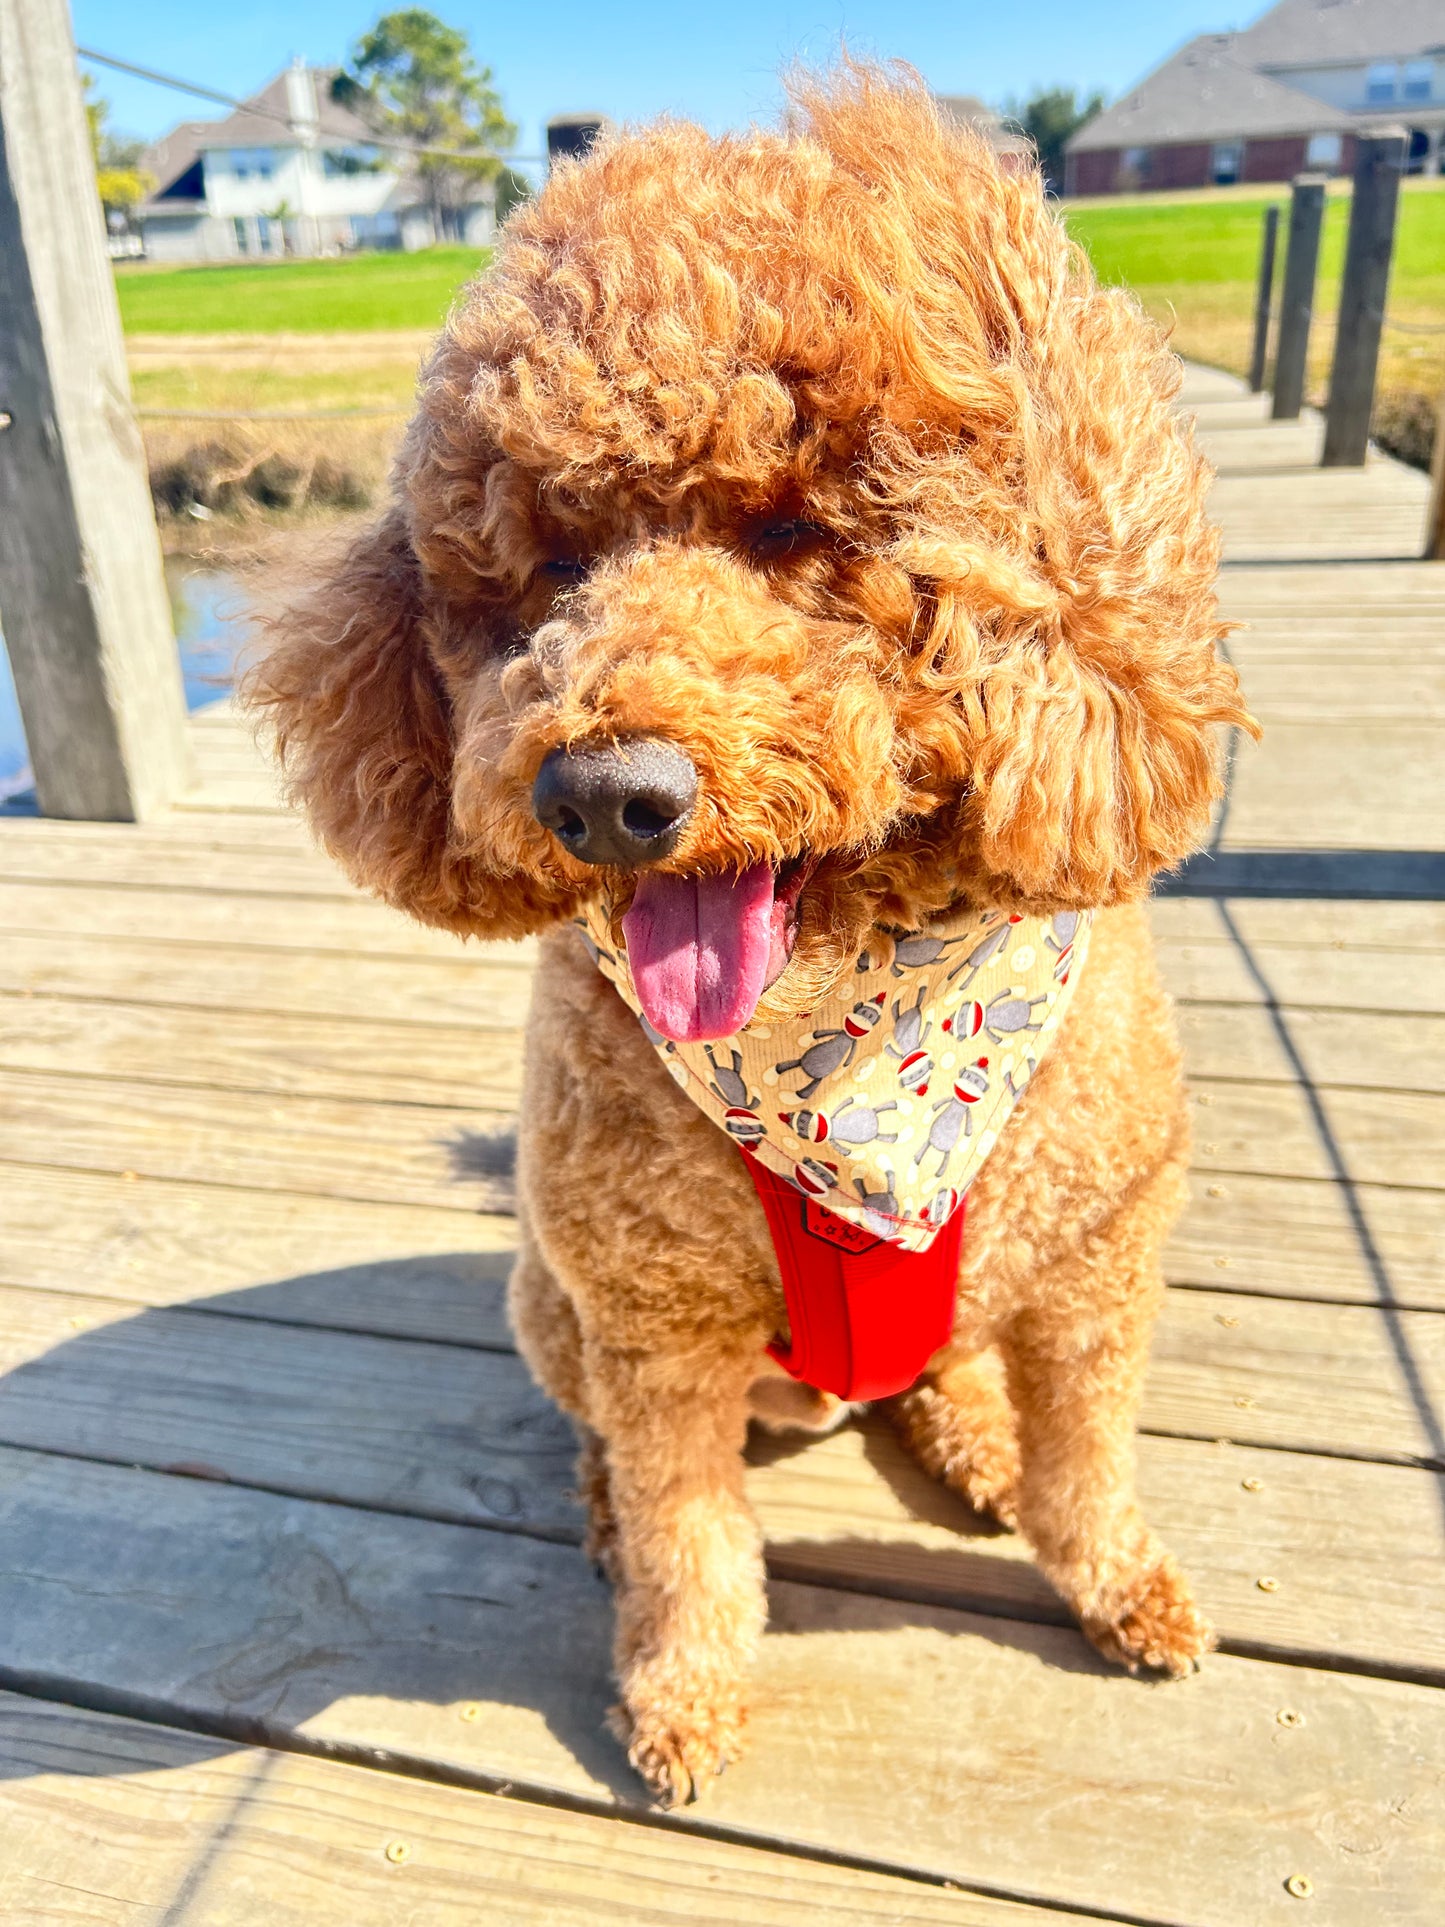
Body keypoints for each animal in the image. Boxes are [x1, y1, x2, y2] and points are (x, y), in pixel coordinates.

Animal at [248, 64, 1256, 1803]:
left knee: (949, 1375)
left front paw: (1119, 1581)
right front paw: (683, 1693)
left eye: (797, 530)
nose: (604, 793)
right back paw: (610, 1506)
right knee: (607, 1440)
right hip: (552, 1303)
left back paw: (969, 1435)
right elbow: (687, 1532)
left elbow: (1087, 1465)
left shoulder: (1094, 1272)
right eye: (552, 565)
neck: (857, 1039)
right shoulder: (654, 1318)